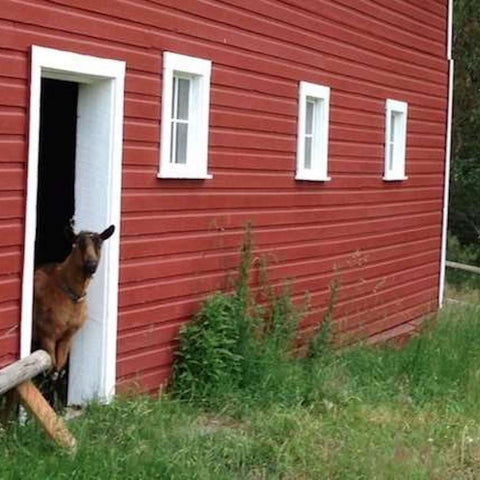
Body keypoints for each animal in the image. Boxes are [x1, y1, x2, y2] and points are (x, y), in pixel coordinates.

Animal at [33, 223, 115, 376]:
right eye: (78, 243)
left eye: (100, 243)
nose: (91, 265)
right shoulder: (47, 334)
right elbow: (51, 368)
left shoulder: (69, 335)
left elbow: (59, 368)